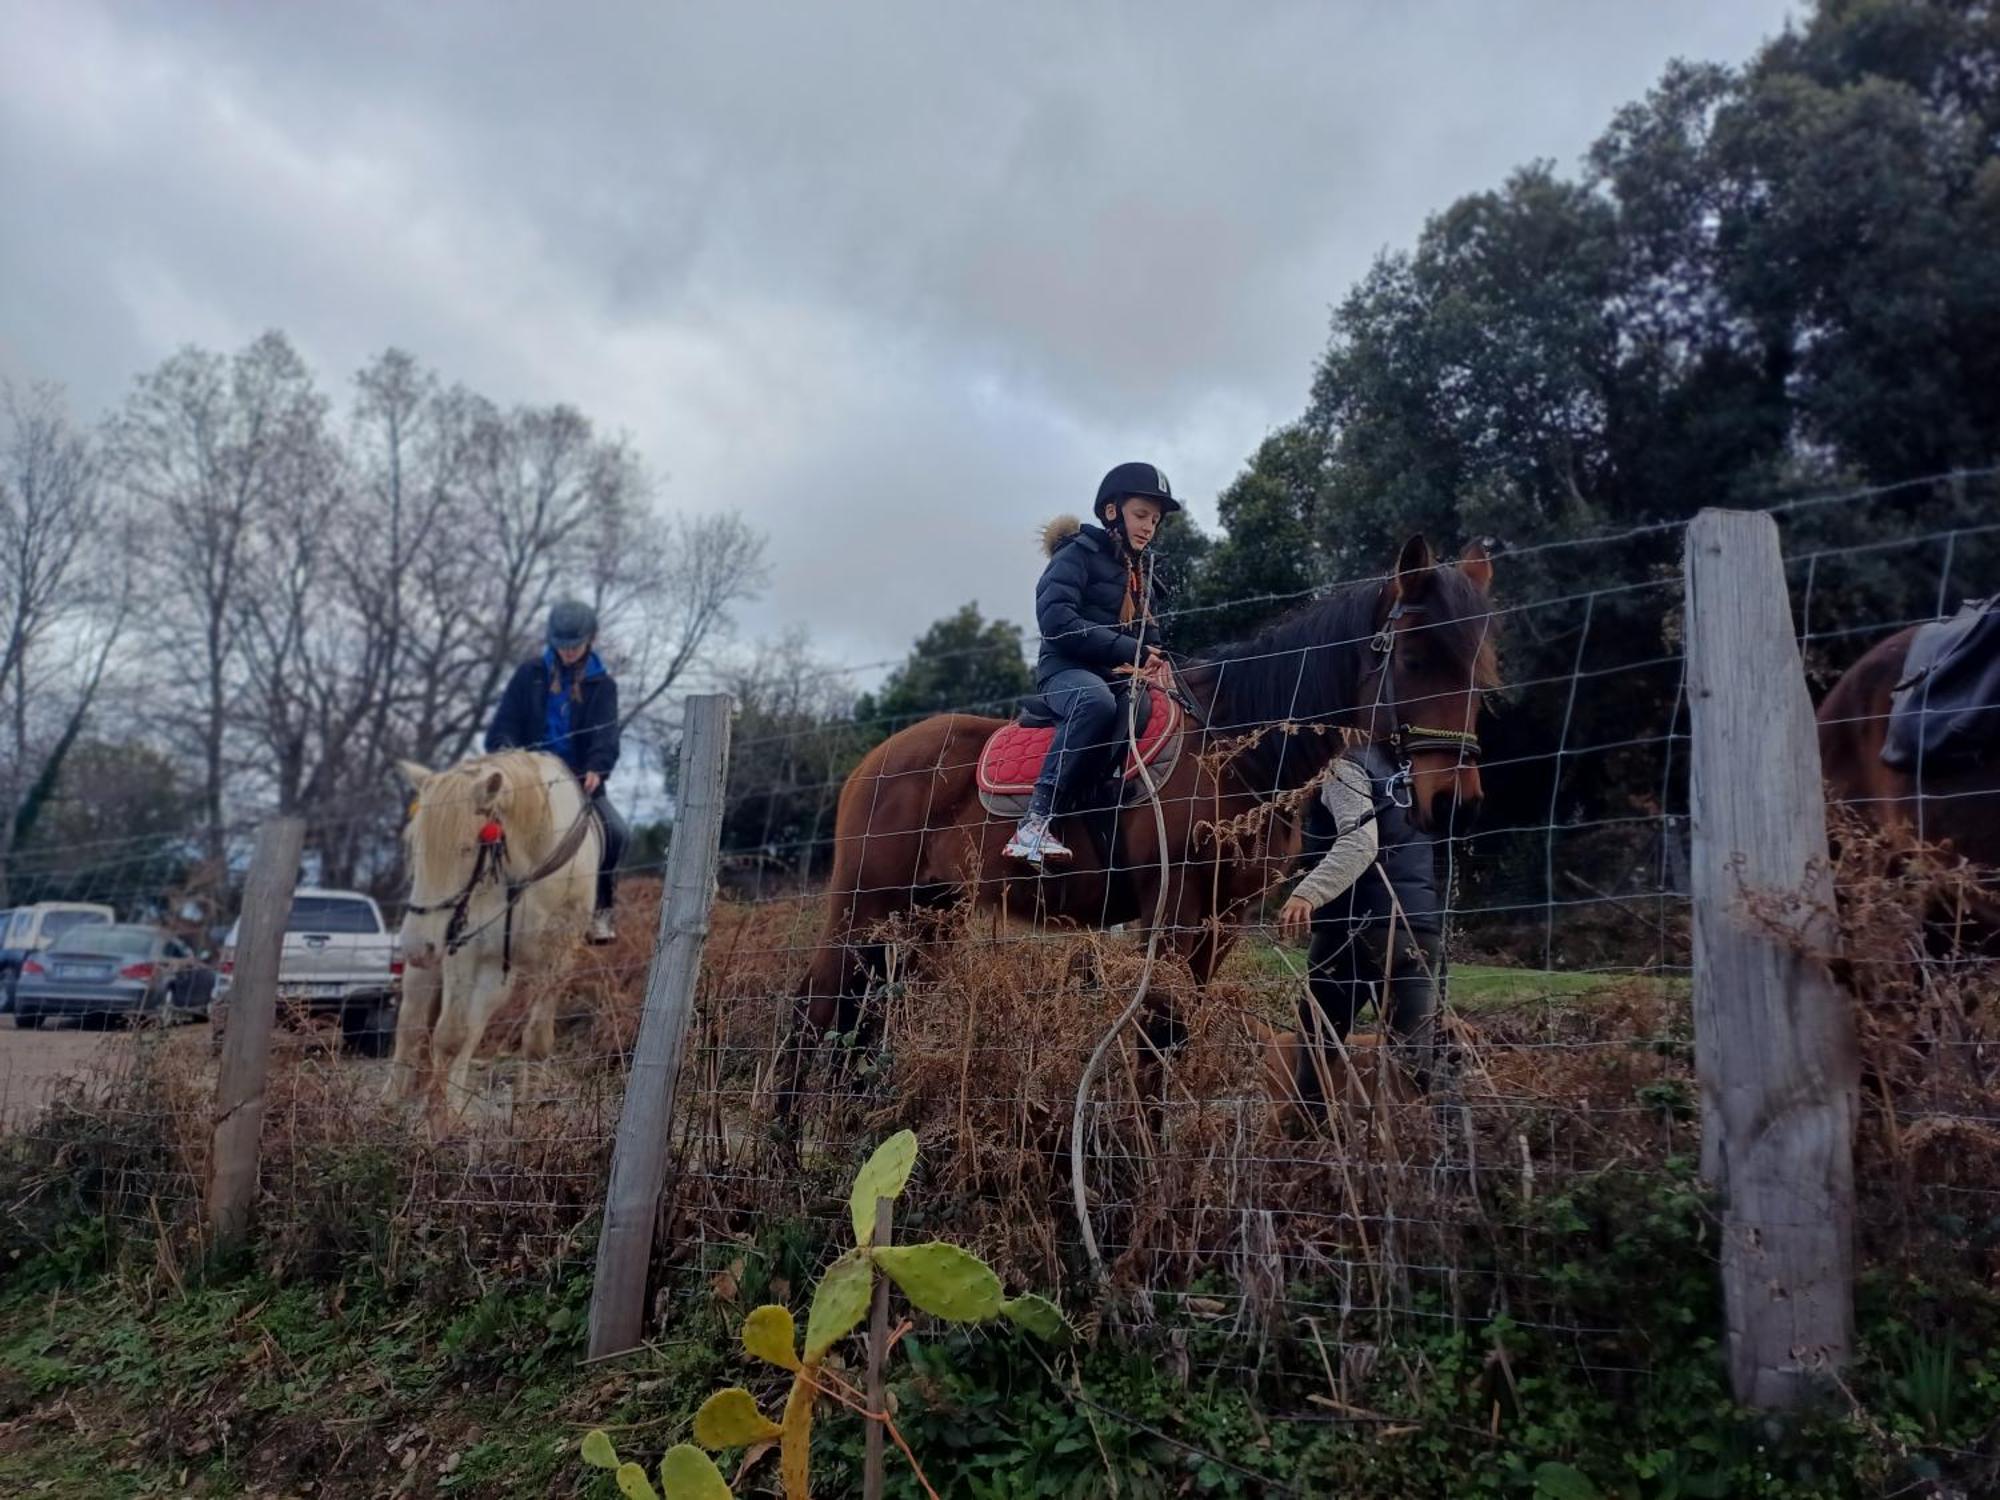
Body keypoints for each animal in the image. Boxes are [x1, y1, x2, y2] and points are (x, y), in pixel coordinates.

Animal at [390, 752, 600, 1128]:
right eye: (414, 847)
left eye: (467, 848)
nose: (417, 945)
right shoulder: (465, 949)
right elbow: (449, 1035)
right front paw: (435, 1121)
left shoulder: (559, 957)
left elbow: (535, 1041)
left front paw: (529, 1112)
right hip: (429, 974)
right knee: (411, 1026)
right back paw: (389, 1104)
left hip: (497, 979)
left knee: (474, 1027)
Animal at [784, 536, 1504, 1096]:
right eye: (1413, 656)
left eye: (1482, 663)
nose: (1455, 802)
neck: (1230, 751)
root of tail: (873, 763)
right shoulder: (1174, 907)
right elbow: (1159, 1033)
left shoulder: (1223, 919)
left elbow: (1176, 1038)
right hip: (863, 907)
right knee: (814, 1007)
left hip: (925, 916)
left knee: (865, 1017)